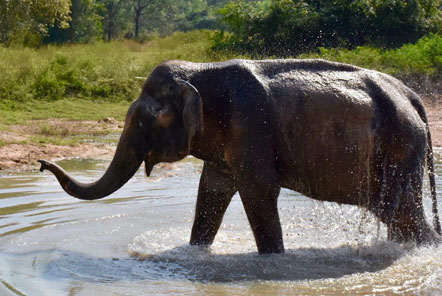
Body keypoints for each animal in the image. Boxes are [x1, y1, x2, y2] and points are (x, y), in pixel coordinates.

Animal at [38, 59, 442, 254]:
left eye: (140, 120)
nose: (41, 164)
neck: (202, 72)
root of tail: (414, 98)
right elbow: (212, 190)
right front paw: (193, 252)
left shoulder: (250, 126)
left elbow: (258, 190)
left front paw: (274, 261)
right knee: (394, 216)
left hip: (400, 147)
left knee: (403, 214)